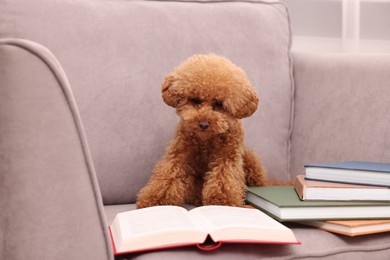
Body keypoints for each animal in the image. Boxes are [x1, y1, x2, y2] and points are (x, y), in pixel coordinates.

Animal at [136, 53, 268, 208]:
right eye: (195, 100)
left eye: (219, 104)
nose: (203, 124)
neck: (206, 140)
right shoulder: (180, 151)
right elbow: (169, 173)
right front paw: (156, 200)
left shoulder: (227, 154)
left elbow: (224, 177)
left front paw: (222, 201)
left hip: (251, 162)